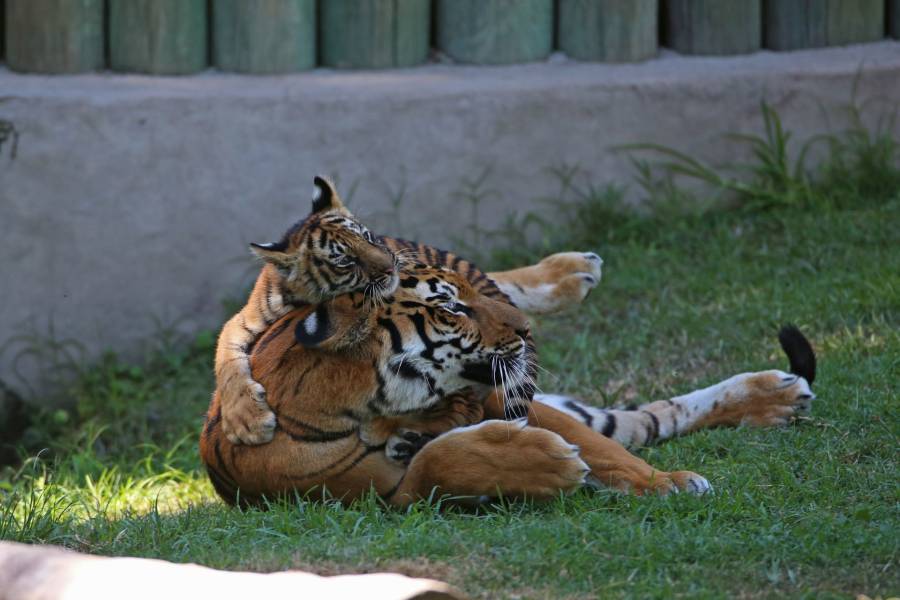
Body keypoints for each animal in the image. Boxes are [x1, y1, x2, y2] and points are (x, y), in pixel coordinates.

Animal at [199, 258, 816, 506]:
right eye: (452, 308)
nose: (524, 331)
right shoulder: (384, 493)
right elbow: (437, 463)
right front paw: (551, 465)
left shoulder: (505, 395)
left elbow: (609, 455)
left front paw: (666, 483)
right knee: (647, 418)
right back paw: (775, 398)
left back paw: (572, 270)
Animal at [215, 176, 604, 442]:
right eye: (344, 260)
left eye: (367, 236)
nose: (392, 265)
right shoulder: (244, 321)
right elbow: (227, 359)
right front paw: (247, 421)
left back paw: (578, 269)